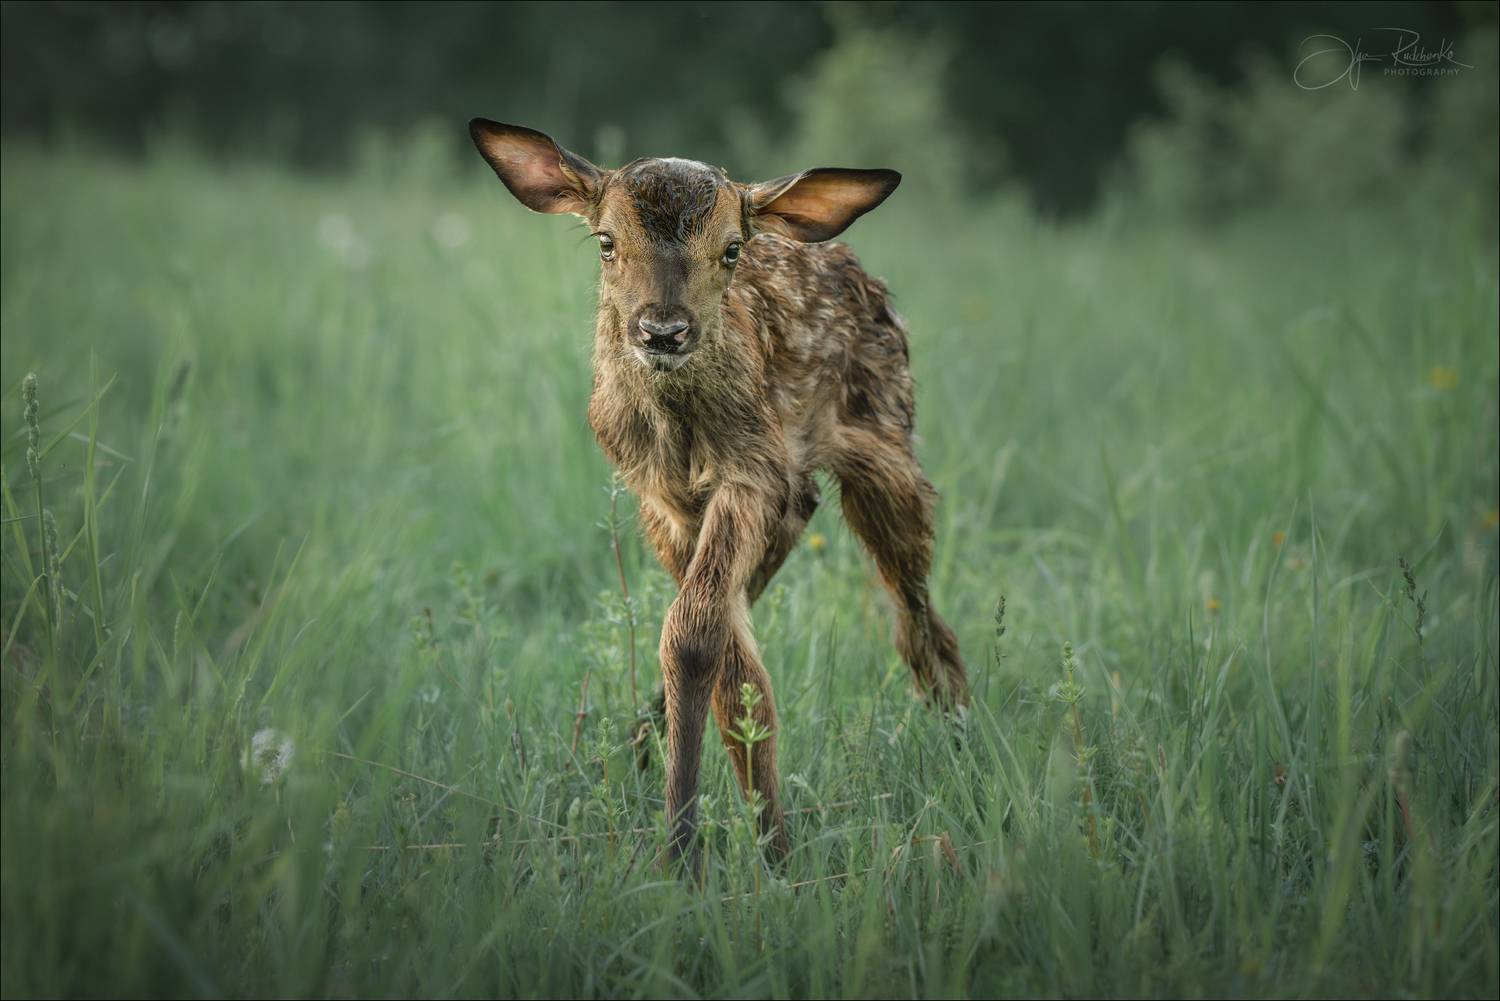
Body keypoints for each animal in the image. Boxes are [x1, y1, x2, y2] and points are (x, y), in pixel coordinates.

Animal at [469, 119, 969, 870]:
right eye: (606, 242)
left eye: (731, 249)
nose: (662, 329)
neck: (680, 427)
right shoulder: (661, 500)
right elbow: (724, 658)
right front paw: (733, 841)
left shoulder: (751, 470)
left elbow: (697, 640)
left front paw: (703, 852)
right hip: (786, 498)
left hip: (887, 450)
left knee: (916, 615)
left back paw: (964, 736)